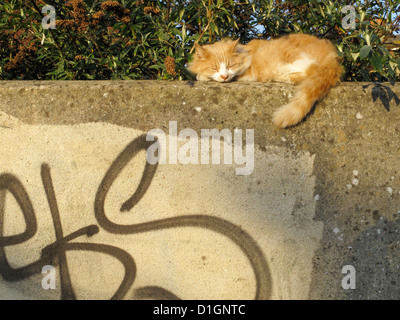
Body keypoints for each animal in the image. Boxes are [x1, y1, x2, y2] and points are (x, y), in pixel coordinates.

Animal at [189, 34, 342, 128]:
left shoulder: (248, 71)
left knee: (311, 68)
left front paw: (202, 76)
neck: (245, 52)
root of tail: (332, 52)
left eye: (230, 66)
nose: (224, 76)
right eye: (214, 68)